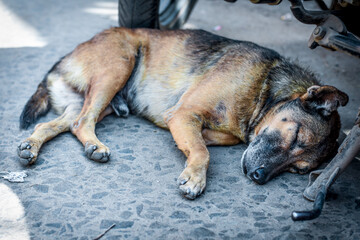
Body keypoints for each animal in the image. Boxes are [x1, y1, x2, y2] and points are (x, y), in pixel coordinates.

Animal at [18, 27, 348, 199]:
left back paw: (30, 147)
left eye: (300, 170)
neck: (264, 89)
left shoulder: (193, 124)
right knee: (80, 121)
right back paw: (95, 146)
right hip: (119, 65)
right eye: (295, 136)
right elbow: (202, 152)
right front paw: (195, 178)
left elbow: (201, 144)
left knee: (60, 124)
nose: (259, 177)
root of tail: (64, 58)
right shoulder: (183, 114)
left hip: (97, 101)